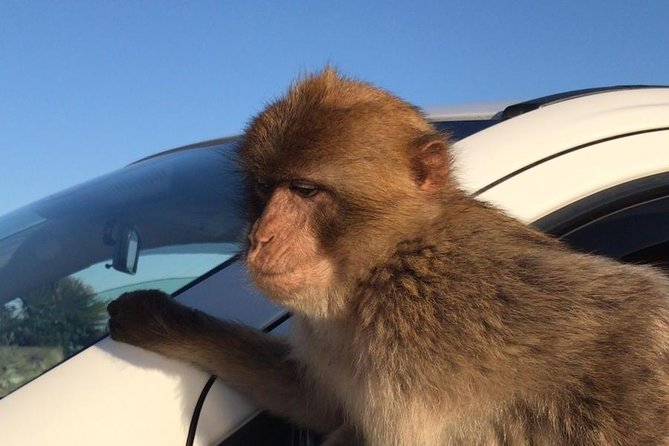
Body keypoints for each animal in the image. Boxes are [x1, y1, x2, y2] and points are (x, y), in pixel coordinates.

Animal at [107, 68, 669, 445]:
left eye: (305, 190)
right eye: (265, 189)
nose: (259, 238)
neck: (380, 265)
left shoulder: (433, 317)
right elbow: (317, 401)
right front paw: (159, 319)